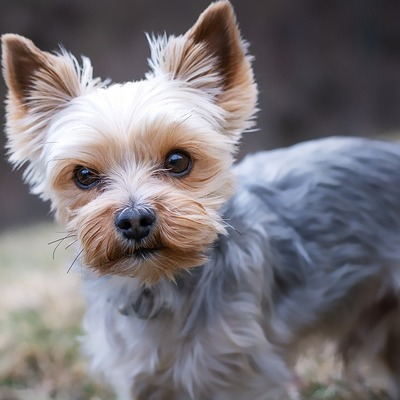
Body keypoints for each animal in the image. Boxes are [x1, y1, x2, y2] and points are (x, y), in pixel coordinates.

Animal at [2, 1, 400, 398]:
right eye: (83, 175)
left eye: (179, 160)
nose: (134, 220)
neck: (158, 285)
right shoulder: (140, 380)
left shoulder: (243, 376)